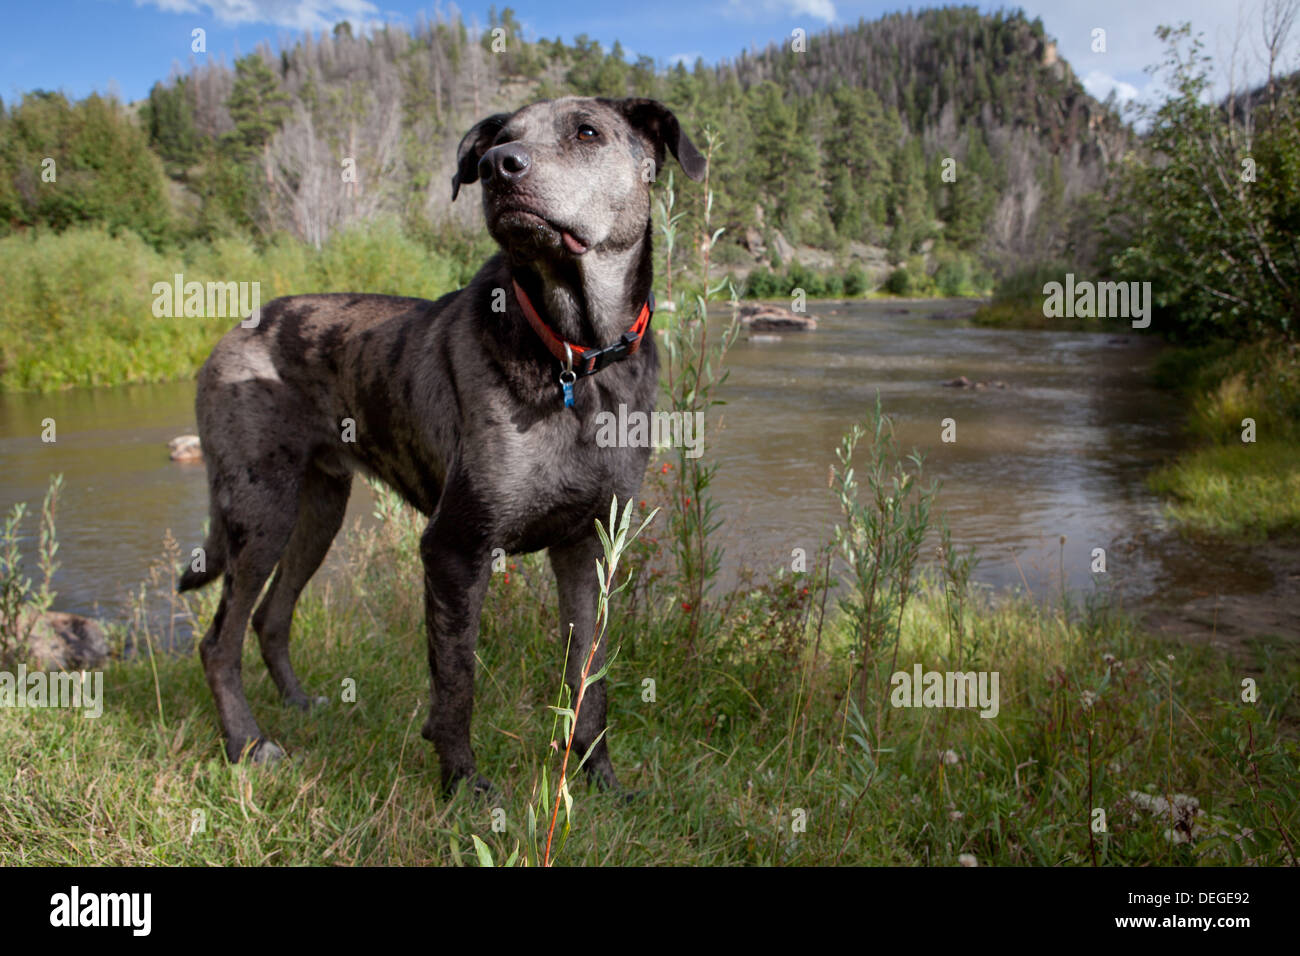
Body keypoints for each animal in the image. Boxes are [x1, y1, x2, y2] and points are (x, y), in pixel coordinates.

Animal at [179, 97, 707, 790]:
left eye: (587, 132)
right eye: (500, 140)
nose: (497, 166)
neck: (578, 356)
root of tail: (234, 330)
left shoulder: (587, 546)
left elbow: (588, 681)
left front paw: (600, 781)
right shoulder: (456, 547)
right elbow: (457, 684)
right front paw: (463, 786)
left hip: (318, 510)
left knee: (270, 617)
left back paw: (299, 706)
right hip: (259, 512)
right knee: (220, 641)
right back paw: (248, 742)